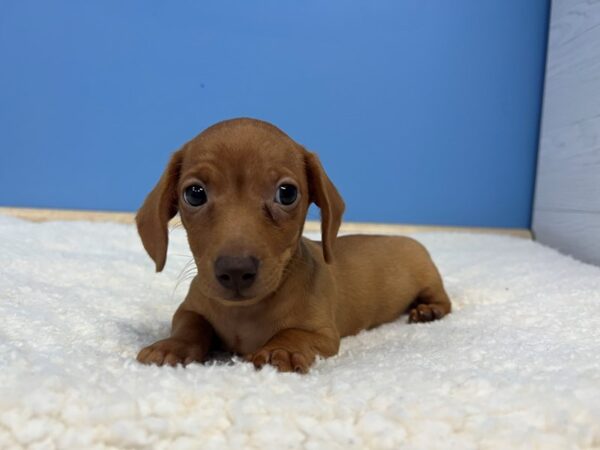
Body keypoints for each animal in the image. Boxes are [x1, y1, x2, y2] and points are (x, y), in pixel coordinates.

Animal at [136, 118, 450, 372]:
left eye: (286, 193)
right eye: (194, 193)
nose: (235, 271)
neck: (245, 312)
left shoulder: (323, 334)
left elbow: (293, 333)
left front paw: (280, 349)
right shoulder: (189, 309)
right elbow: (190, 325)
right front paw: (173, 346)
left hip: (430, 278)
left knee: (443, 299)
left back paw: (429, 310)